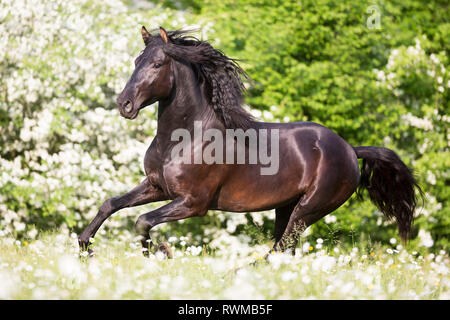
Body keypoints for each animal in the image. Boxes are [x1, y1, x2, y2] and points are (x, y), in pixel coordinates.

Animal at [78, 27, 422, 258]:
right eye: (137, 60)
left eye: (158, 64)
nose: (124, 104)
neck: (183, 139)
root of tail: (350, 149)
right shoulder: (157, 187)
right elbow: (111, 204)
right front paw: (84, 247)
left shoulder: (193, 203)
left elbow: (142, 221)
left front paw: (161, 252)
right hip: (286, 208)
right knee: (285, 250)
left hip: (309, 209)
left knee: (280, 249)